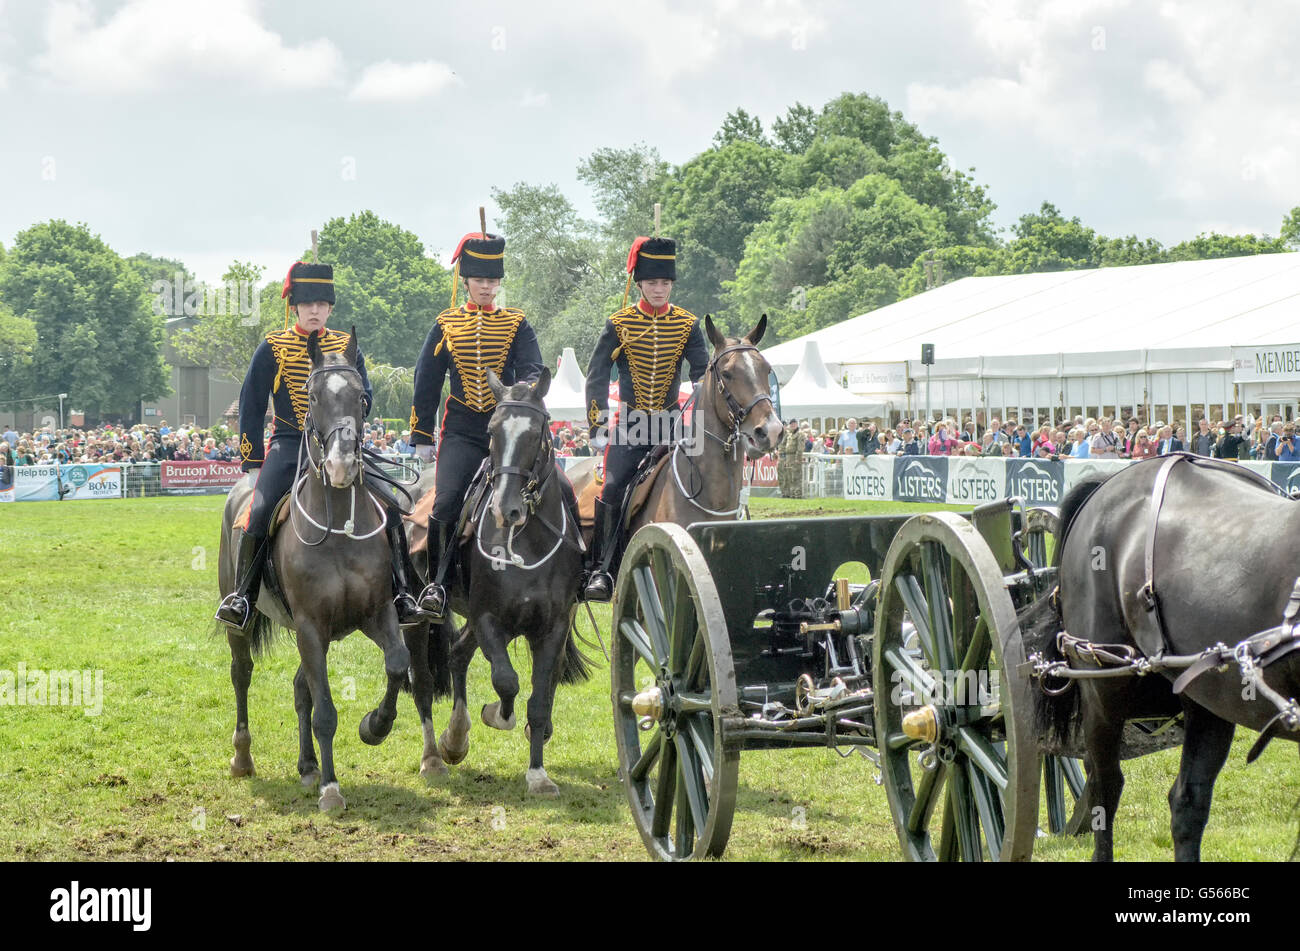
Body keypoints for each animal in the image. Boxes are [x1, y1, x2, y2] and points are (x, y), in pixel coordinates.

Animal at [219, 332, 452, 810]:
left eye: (362, 397)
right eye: (311, 395)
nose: (342, 465)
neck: (339, 528)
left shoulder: (376, 615)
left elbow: (397, 666)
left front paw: (374, 726)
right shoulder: (311, 627)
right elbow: (325, 709)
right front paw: (331, 787)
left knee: (300, 687)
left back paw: (307, 766)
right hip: (244, 625)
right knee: (242, 674)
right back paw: (244, 758)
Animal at [413, 368, 592, 800]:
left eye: (537, 432)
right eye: (492, 431)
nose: (505, 509)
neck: (525, 541)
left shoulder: (552, 626)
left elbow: (539, 697)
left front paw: (538, 774)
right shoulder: (489, 619)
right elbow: (506, 681)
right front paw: (497, 715)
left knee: (458, 654)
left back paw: (455, 738)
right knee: (424, 679)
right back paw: (435, 756)